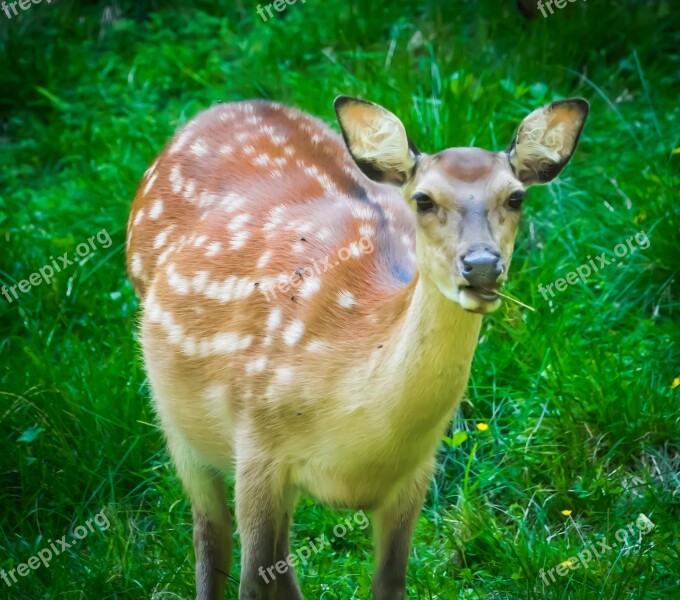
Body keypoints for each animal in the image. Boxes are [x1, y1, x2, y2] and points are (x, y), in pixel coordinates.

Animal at [126, 96, 588, 596]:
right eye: (424, 199)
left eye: (516, 197)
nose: (482, 265)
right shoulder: (255, 443)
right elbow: (250, 582)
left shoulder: (416, 475)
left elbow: (388, 583)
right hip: (176, 423)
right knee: (210, 534)